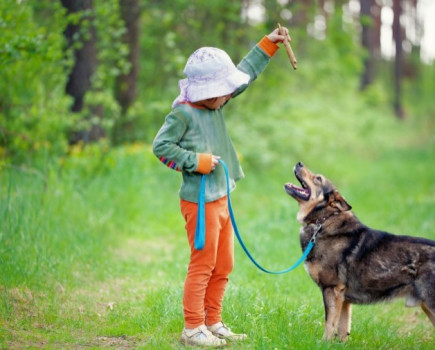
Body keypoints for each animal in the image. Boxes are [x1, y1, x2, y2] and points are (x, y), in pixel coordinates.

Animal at [284, 163, 434, 340]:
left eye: (318, 178)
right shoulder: (344, 298)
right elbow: (342, 329)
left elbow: (329, 324)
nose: (299, 163)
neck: (323, 220)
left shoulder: (331, 289)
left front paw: (323, 342)